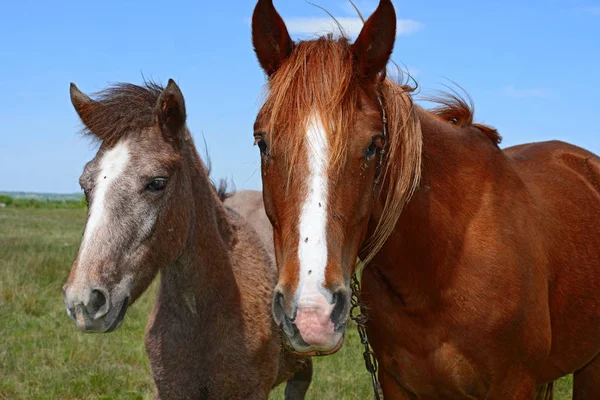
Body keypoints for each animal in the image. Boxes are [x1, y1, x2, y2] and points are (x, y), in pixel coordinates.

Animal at [250, 0, 600, 398]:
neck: (441, 265)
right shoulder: (398, 383)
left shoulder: (514, 384)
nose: (312, 313)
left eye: (374, 145)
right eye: (262, 141)